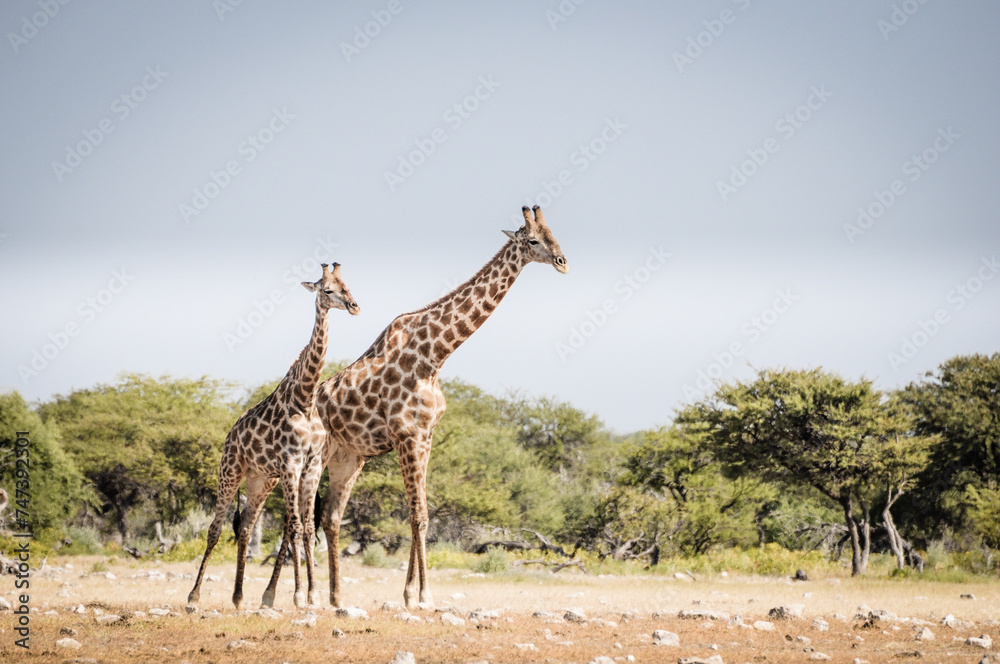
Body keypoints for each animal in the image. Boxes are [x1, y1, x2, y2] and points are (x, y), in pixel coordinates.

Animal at [187, 263, 360, 609]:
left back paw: (238, 597)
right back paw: (194, 596)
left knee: (245, 527)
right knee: (214, 528)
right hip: (230, 471)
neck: (305, 399)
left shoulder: (311, 466)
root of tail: (230, 435)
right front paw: (298, 594)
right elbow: (293, 527)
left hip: (260, 481)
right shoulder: (291, 465)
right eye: (327, 290)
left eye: (347, 285)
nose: (354, 306)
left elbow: (306, 527)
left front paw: (312, 595)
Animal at [267, 206, 566, 610]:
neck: (435, 355)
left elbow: (419, 515)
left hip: (349, 458)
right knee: (295, 517)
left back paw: (334, 595)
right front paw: (423, 594)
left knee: (329, 518)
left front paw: (410, 593)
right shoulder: (408, 436)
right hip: (312, 458)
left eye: (554, 235)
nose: (563, 262)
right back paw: (281, 595)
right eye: (533, 240)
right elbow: (420, 516)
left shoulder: (426, 436)